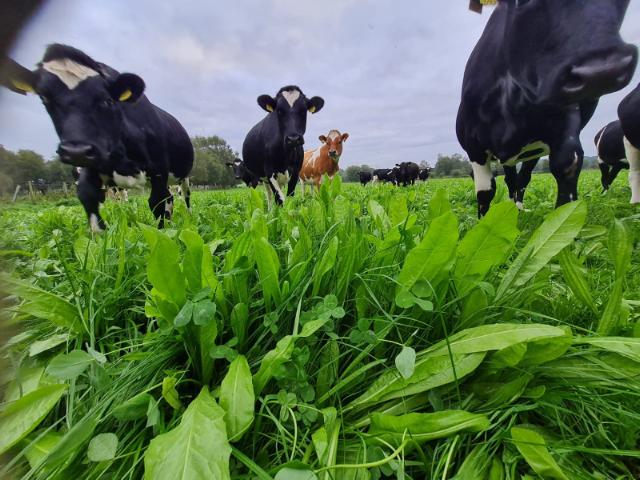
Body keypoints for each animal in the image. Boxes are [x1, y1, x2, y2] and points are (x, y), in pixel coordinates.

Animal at [0, 44, 194, 231]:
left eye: (107, 100)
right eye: (44, 99)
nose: (76, 151)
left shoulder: (159, 171)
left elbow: (157, 203)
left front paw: (163, 231)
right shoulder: (94, 167)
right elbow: (88, 196)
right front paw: (100, 234)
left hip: (182, 177)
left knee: (183, 196)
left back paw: (187, 215)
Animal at [456, 0, 637, 217]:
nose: (601, 70)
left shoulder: (564, 120)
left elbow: (566, 167)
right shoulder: (474, 144)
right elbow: (486, 191)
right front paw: (484, 222)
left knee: (522, 178)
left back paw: (518, 207)